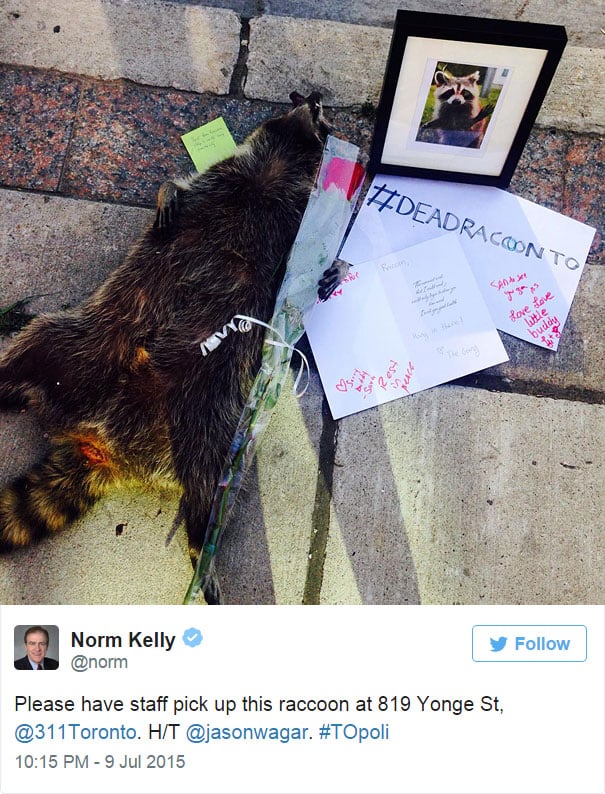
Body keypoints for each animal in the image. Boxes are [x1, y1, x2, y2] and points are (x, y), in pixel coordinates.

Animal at [0, 89, 330, 592]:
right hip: (87, 342)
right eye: (311, 107)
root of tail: (105, 443)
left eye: (321, 117)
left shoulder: (291, 228)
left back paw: (201, 544)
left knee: (215, 485)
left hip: (208, 418)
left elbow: (299, 282)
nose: (314, 101)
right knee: (35, 338)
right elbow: (177, 187)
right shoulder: (219, 178)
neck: (277, 164)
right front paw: (166, 193)